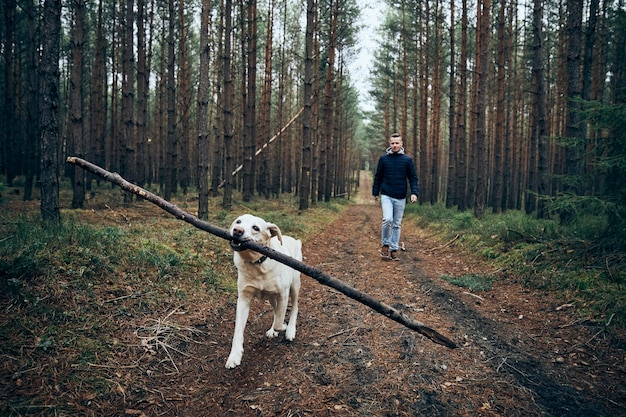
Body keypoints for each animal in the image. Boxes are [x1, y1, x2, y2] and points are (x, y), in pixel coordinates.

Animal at [224, 214, 302, 368]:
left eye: (255, 228)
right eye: (238, 221)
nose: (237, 230)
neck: (257, 264)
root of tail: (294, 240)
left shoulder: (283, 294)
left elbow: (279, 321)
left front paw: (282, 327)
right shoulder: (243, 299)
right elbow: (238, 330)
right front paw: (234, 355)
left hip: (294, 284)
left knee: (294, 307)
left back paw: (290, 329)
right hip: (271, 297)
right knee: (276, 310)